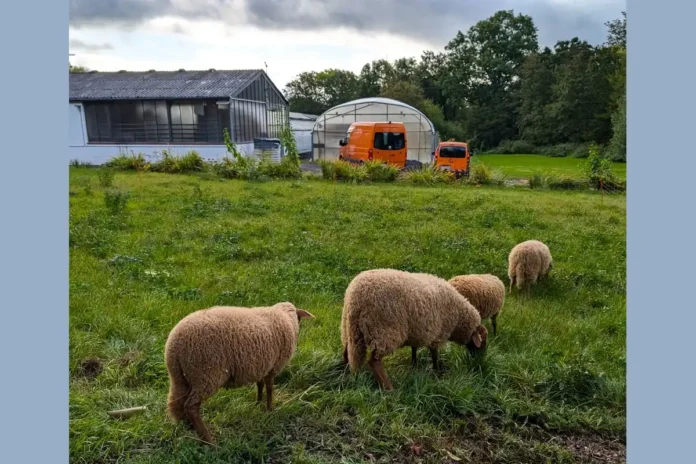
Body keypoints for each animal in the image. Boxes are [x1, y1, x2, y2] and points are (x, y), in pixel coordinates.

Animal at [164, 302, 314, 444]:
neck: (285, 318)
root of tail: (174, 346)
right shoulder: (272, 367)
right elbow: (270, 389)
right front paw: (270, 409)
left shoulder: (260, 366)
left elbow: (260, 385)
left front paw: (258, 403)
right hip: (206, 375)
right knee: (191, 407)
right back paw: (209, 441)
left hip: (181, 377)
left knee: (177, 405)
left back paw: (190, 428)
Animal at [340, 268, 486, 392]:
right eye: (483, 342)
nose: (479, 361)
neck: (459, 319)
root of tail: (356, 297)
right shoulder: (437, 334)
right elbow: (435, 354)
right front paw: (437, 372)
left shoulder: (417, 331)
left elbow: (414, 349)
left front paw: (414, 365)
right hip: (384, 331)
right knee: (374, 361)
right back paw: (389, 388)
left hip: (350, 329)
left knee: (347, 353)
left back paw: (349, 376)